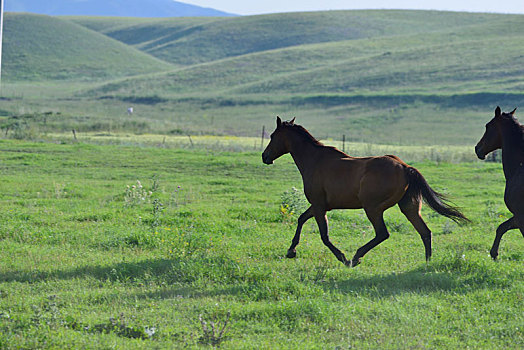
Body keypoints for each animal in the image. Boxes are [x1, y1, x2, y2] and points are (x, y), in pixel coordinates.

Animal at [260, 117, 468, 268]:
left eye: (272, 135)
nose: (264, 156)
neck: (315, 160)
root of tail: (404, 167)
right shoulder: (320, 206)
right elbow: (301, 219)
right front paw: (291, 251)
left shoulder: (319, 206)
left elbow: (324, 236)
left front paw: (343, 258)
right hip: (409, 207)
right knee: (425, 232)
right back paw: (427, 262)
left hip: (372, 208)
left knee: (383, 234)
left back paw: (356, 257)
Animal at [476, 105, 520, 258]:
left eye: (488, 126)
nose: (477, 148)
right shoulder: (518, 216)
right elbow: (501, 227)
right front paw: (494, 253)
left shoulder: (520, 216)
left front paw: (494, 253)